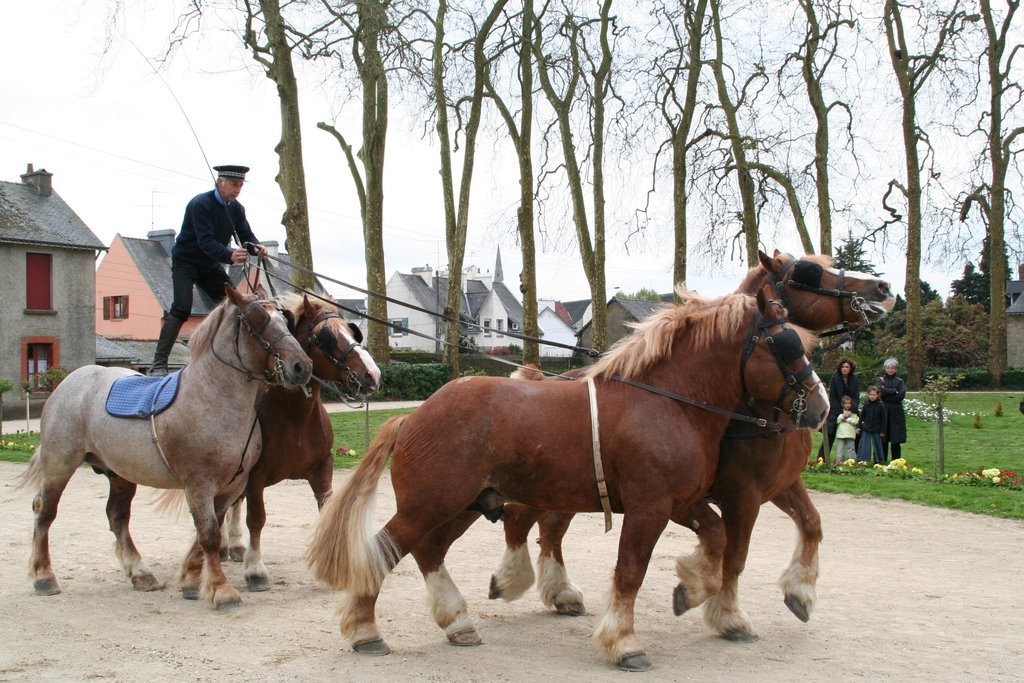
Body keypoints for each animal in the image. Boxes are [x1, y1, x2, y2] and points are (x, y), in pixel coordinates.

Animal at [16, 286, 311, 610]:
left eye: (285, 320)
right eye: (257, 320)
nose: (302, 366)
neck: (212, 399)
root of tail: (70, 381)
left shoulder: (231, 486)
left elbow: (207, 532)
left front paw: (191, 580)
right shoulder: (198, 485)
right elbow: (209, 534)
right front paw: (221, 590)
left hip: (120, 474)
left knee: (117, 517)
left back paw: (140, 573)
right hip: (60, 464)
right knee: (45, 511)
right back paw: (44, 576)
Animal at [220, 290, 380, 589]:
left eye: (352, 332)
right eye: (326, 337)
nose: (372, 374)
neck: (294, 415)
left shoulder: (322, 469)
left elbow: (326, 511)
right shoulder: (255, 476)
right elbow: (256, 518)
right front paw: (255, 568)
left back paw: (234, 546)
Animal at [489, 249, 897, 643]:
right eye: (808, 272)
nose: (883, 288)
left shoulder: (780, 485)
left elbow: (811, 524)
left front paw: (799, 592)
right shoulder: (739, 496)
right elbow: (734, 555)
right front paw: (728, 614)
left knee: (549, 527)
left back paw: (558, 591)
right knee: (528, 521)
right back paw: (521, 580)